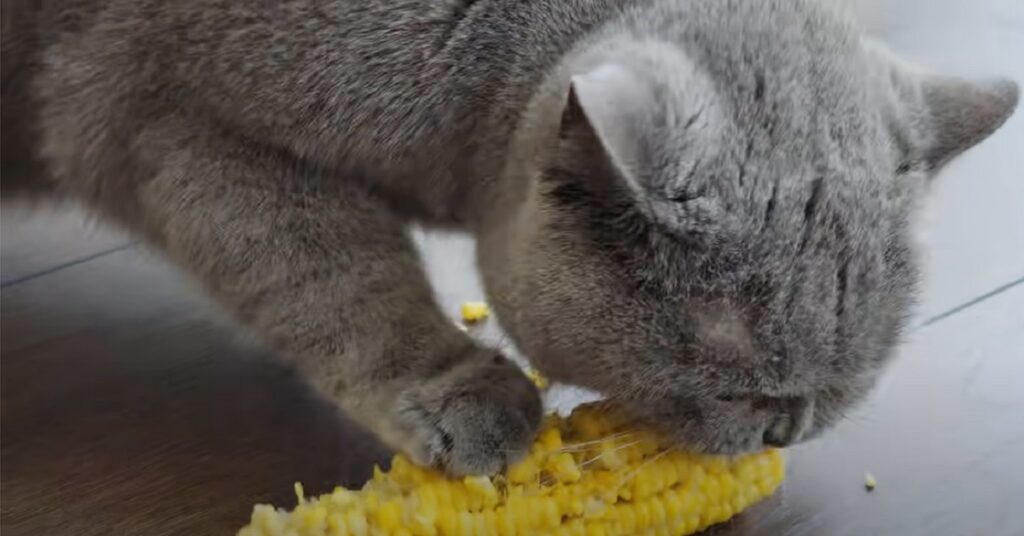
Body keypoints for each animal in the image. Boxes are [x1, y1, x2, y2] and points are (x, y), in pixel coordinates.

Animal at [4, 0, 1019, 475]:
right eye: (737, 382)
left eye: (856, 377)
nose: (786, 426)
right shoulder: (167, 121)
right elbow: (334, 274)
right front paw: (463, 391)